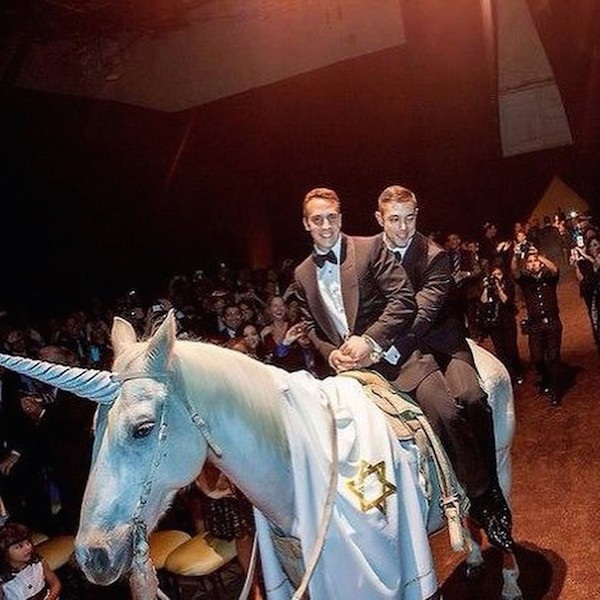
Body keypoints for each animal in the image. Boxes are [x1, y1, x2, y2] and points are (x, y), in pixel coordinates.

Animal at [0, 310, 522, 600]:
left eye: (143, 428)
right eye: (92, 430)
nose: (92, 554)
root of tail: (479, 351)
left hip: (499, 462)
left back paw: (508, 573)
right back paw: (474, 554)